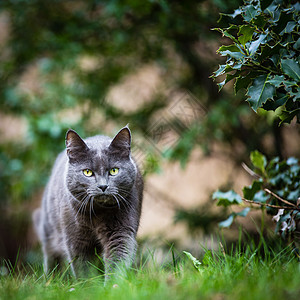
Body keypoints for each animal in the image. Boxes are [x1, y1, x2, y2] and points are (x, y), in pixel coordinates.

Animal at [32, 126, 144, 282]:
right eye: (87, 172)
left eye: (114, 170)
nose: (103, 186)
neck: (98, 214)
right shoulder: (76, 238)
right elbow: (82, 266)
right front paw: (88, 285)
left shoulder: (122, 230)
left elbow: (118, 258)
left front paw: (113, 285)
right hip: (49, 228)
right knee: (51, 256)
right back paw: (50, 280)